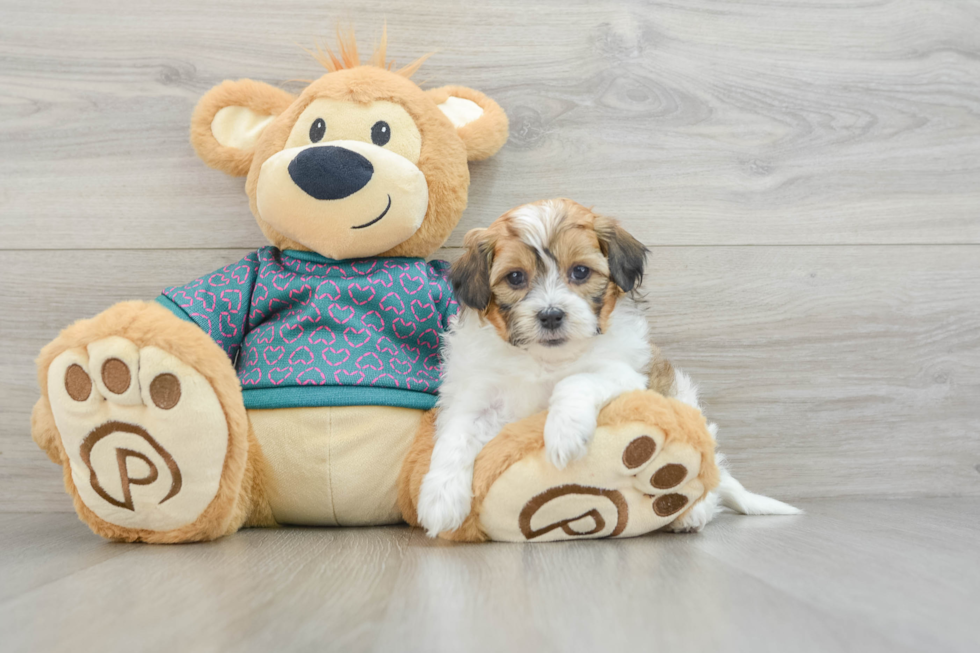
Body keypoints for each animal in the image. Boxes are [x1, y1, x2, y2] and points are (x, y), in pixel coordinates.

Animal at [414, 199, 796, 536]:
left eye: (580, 271)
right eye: (516, 278)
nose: (551, 315)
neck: (544, 360)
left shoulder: (625, 375)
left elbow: (577, 381)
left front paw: (564, 433)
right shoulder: (474, 395)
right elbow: (455, 438)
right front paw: (440, 499)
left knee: (708, 478)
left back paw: (691, 513)